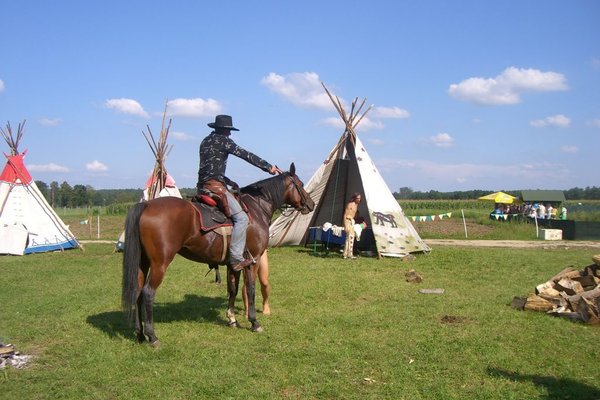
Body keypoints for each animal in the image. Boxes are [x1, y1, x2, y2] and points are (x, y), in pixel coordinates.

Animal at [122, 163, 314, 346]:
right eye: (300, 184)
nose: (311, 204)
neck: (256, 208)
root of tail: (146, 205)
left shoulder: (233, 264)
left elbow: (233, 290)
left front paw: (232, 319)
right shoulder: (252, 261)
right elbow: (250, 290)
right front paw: (254, 322)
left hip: (143, 263)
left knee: (137, 292)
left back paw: (140, 335)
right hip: (159, 264)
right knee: (148, 293)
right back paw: (152, 336)